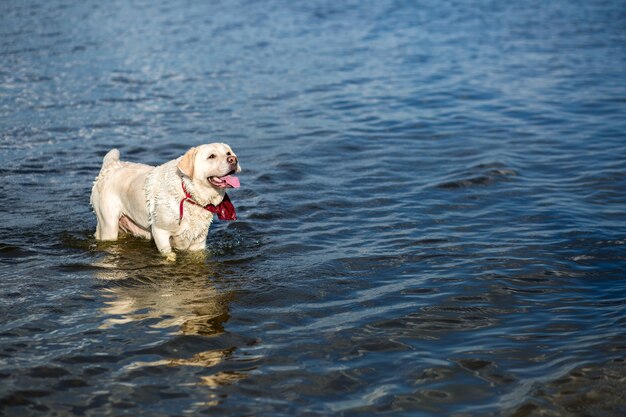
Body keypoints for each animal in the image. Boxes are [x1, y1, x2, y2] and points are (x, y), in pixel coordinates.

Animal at [90, 143, 241, 256]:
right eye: (211, 156)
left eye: (228, 153)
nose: (233, 159)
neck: (189, 194)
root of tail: (110, 166)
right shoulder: (160, 231)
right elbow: (169, 255)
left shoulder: (199, 240)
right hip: (108, 225)